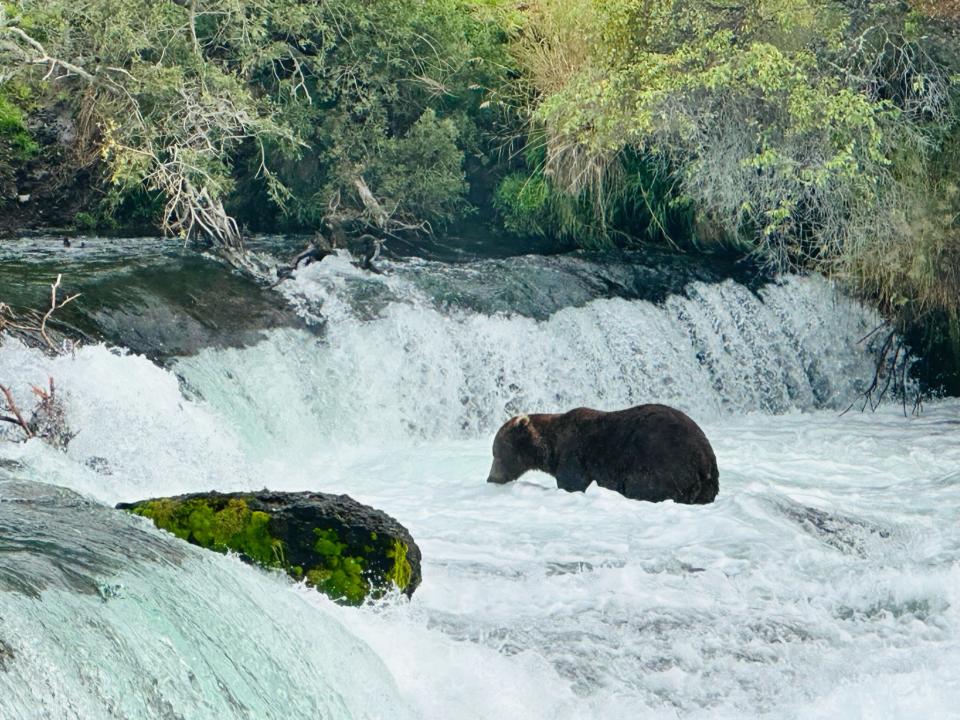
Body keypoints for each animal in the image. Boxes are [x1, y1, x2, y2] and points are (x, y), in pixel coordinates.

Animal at [492, 404, 716, 506]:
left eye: (496, 453)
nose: (491, 477)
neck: (552, 446)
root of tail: (703, 461)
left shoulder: (574, 455)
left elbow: (572, 483)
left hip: (659, 463)